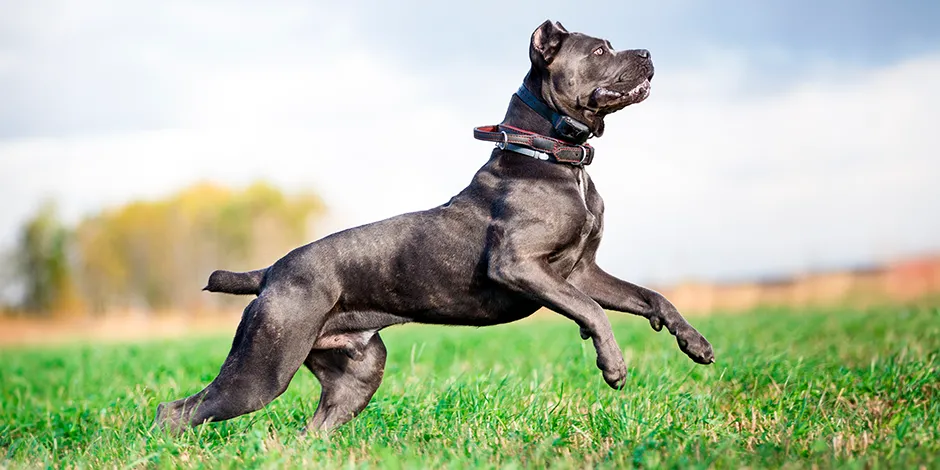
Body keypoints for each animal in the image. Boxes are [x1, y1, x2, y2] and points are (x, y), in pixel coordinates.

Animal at [154, 21, 712, 434]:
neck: (554, 158)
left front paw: (695, 344)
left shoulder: (582, 271)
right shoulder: (522, 267)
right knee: (177, 411)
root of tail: (270, 273)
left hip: (357, 373)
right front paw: (613, 366)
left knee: (310, 430)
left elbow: (650, 297)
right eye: (599, 49)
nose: (648, 52)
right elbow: (593, 311)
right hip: (261, 370)